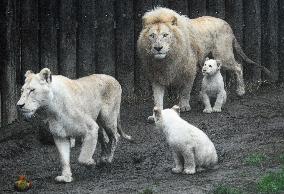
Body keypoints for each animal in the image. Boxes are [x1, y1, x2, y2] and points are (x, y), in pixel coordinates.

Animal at [138, 7, 270, 119]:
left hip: (223, 55)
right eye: (152, 36)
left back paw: (240, 91)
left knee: (238, 67)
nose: (158, 48)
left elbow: (185, 91)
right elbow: (157, 98)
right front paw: (155, 114)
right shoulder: (157, 76)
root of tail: (226, 24)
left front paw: (184, 106)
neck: (165, 60)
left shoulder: (189, 71)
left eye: (165, 35)